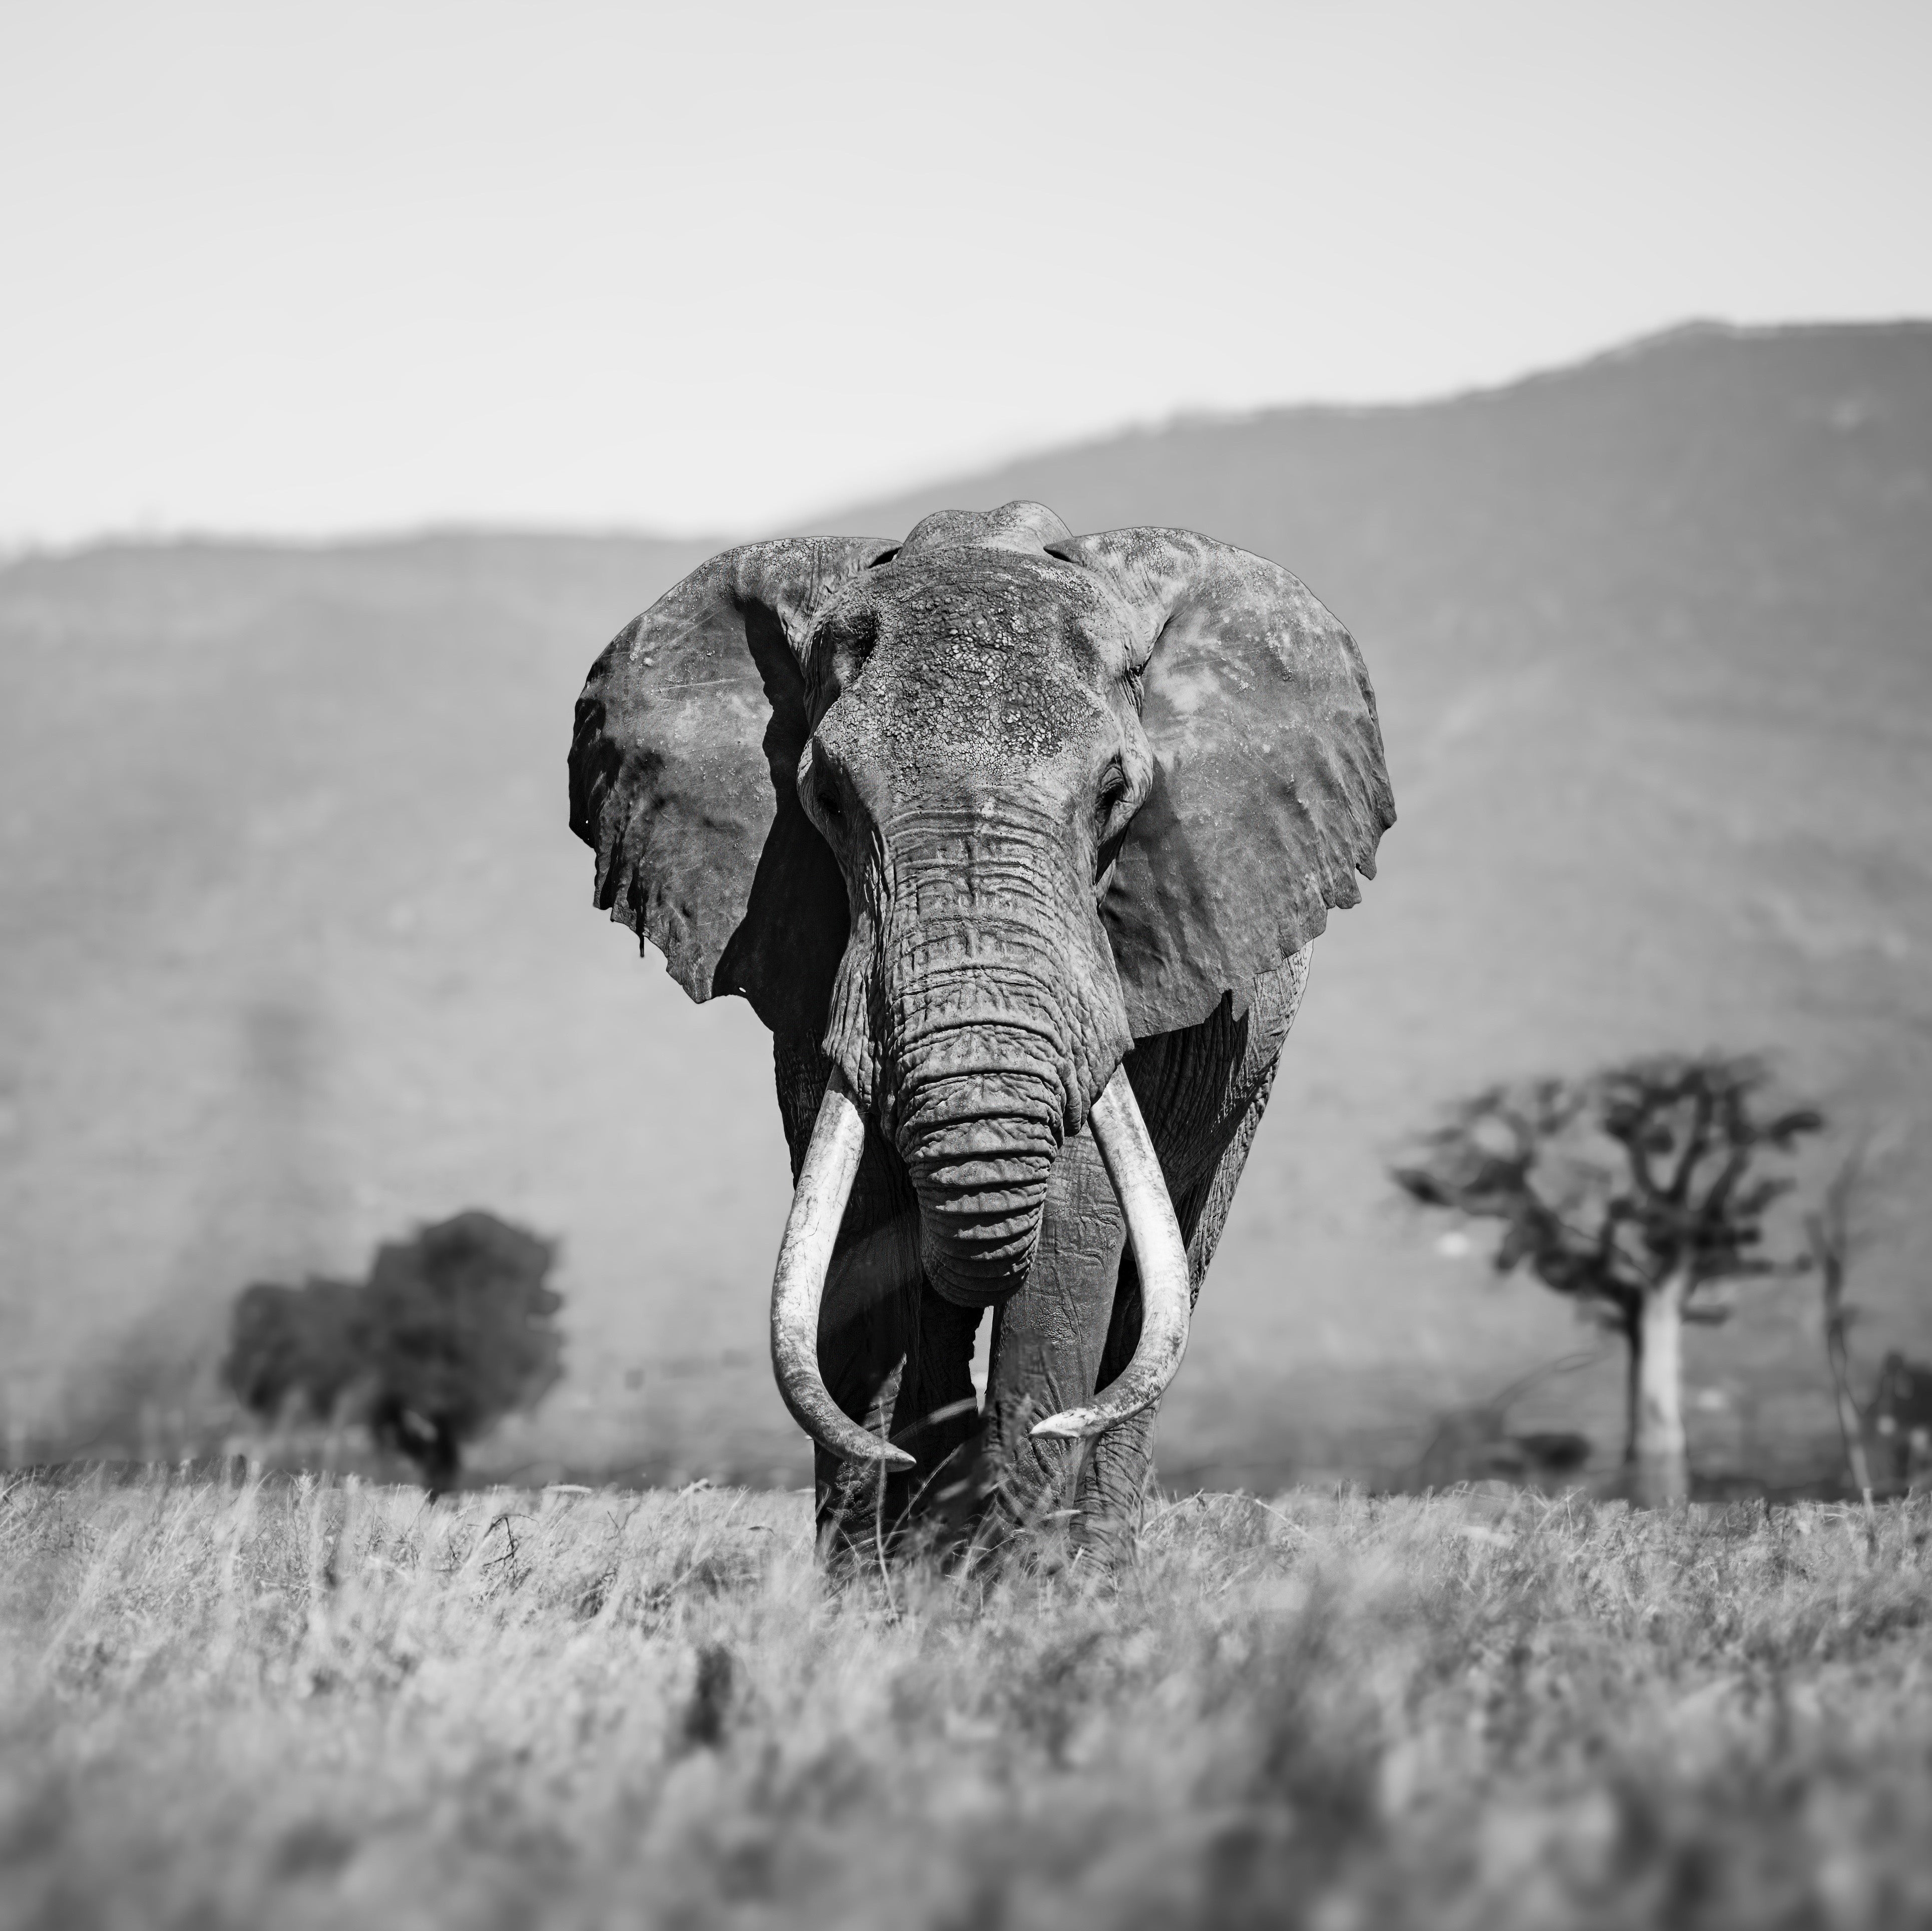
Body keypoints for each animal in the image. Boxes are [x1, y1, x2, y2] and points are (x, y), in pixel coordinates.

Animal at [570, 500, 1394, 1562]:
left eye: (1114, 794)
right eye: (824, 799)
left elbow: (1072, 1232)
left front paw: (1019, 1586)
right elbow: (860, 1242)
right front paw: (891, 1582)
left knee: (1157, 1284)